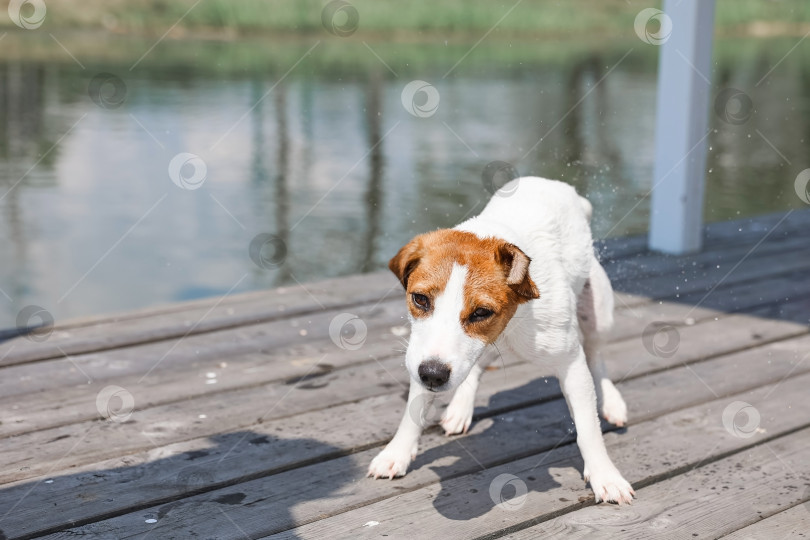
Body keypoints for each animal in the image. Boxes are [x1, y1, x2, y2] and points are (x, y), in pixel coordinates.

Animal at [368, 177, 636, 506]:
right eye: (420, 299)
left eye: (482, 312)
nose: (433, 375)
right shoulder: (424, 353)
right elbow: (413, 411)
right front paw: (397, 452)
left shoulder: (571, 363)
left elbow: (588, 427)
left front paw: (605, 475)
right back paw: (460, 409)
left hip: (598, 312)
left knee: (596, 355)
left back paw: (612, 402)